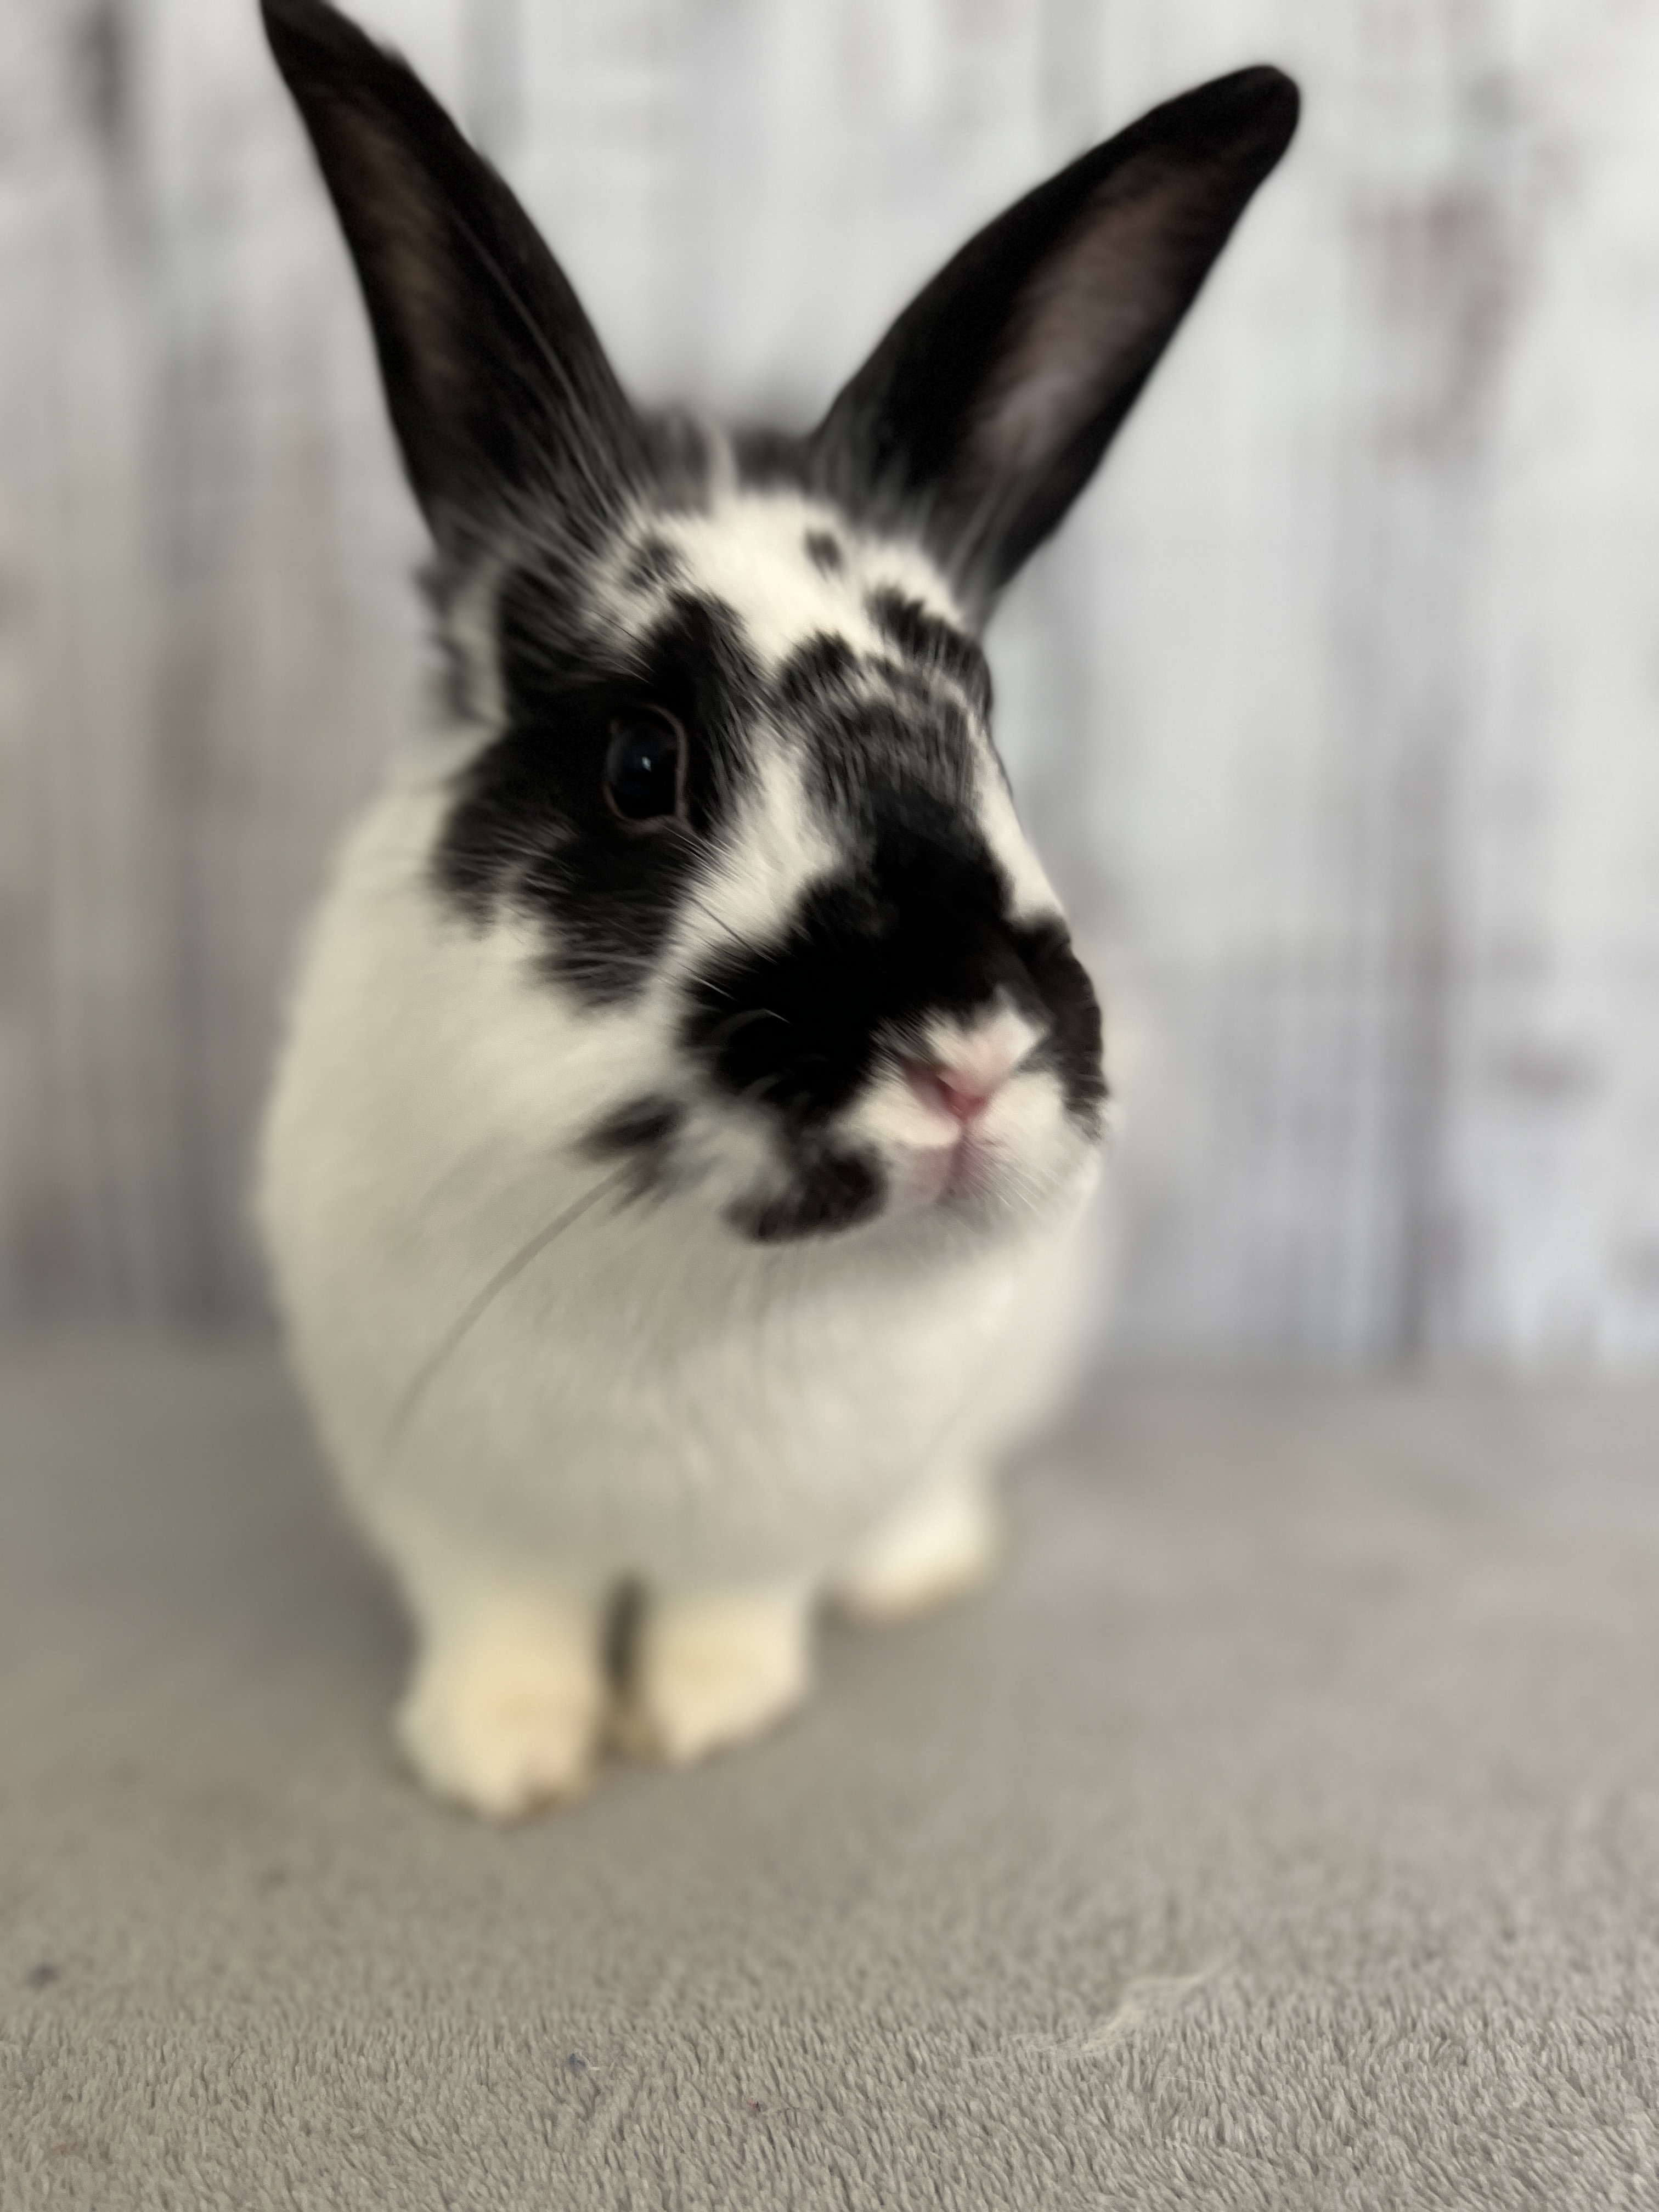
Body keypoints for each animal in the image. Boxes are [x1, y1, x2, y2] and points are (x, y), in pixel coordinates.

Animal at [257, 0, 1298, 1817]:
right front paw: (502, 1762)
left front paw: (703, 1720)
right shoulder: (449, 1499)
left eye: (987, 723)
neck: (668, 1265)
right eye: (639, 762)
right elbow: (505, 1617)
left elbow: (731, 1606)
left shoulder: (777, 1516)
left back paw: (918, 1571)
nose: (967, 1058)